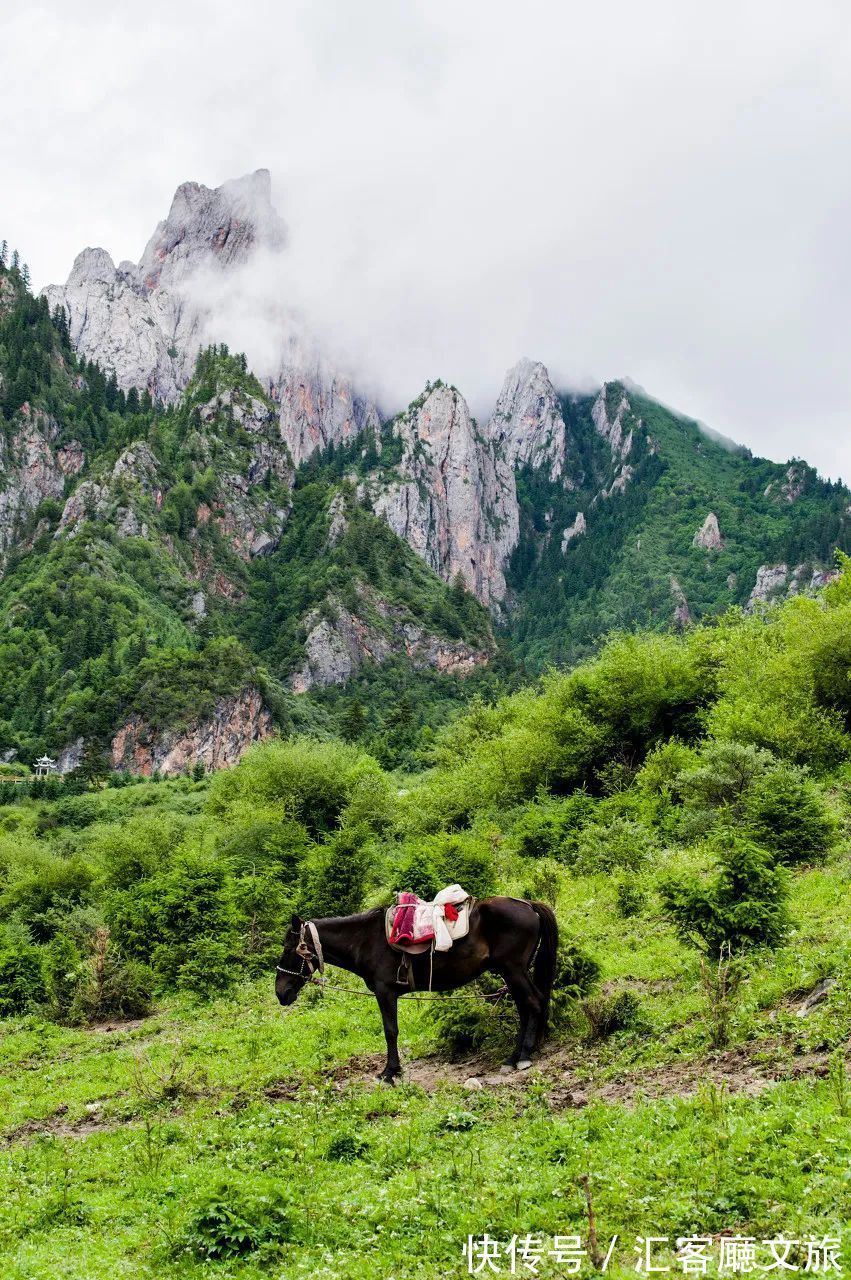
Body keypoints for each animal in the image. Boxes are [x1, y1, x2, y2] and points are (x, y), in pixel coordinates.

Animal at [273, 896, 557, 1085]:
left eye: (288, 949)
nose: (280, 992)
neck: (364, 940)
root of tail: (528, 905)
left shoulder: (385, 991)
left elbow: (390, 1031)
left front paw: (390, 1072)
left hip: (514, 970)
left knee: (533, 1003)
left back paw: (523, 1056)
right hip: (512, 973)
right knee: (526, 1008)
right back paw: (513, 1057)